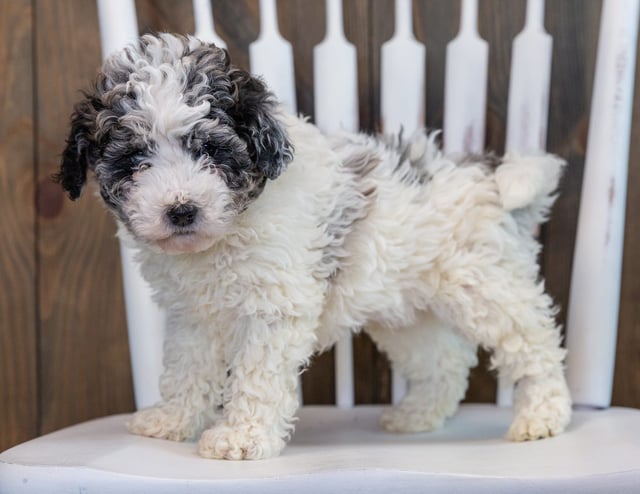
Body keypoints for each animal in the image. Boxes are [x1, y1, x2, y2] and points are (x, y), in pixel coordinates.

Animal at [57, 33, 572, 460]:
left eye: (211, 150)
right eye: (134, 160)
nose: (181, 210)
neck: (226, 236)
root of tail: (482, 175)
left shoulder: (275, 308)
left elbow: (257, 375)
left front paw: (241, 437)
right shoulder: (193, 317)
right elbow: (186, 368)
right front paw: (172, 420)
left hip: (485, 283)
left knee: (534, 341)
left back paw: (543, 415)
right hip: (406, 309)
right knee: (443, 360)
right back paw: (417, 416)